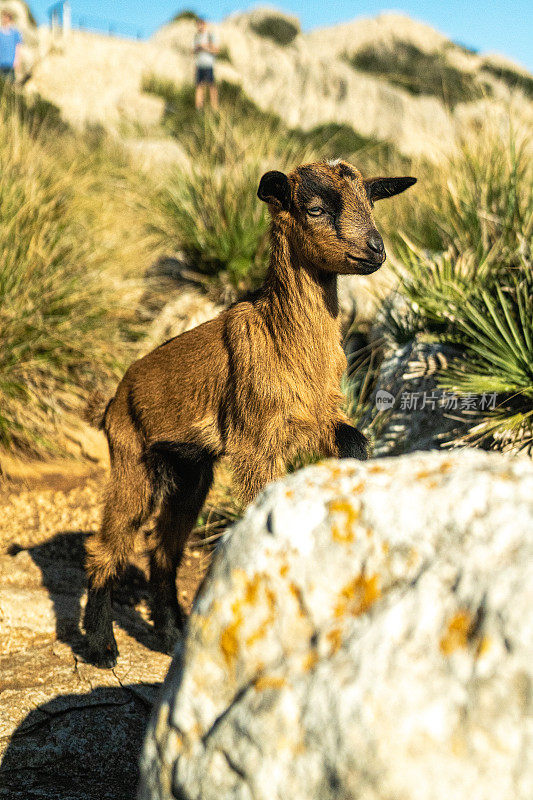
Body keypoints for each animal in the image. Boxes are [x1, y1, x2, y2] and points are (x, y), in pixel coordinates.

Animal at [84, 159, 416, 664]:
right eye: (315, 208)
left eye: (371, 203)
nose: (376, 251)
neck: (284, 338)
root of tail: (117, 394)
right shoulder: (256, 441)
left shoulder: (314, 421)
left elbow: (355, 441)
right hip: (131, 457)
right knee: (110, 542)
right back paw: (101, 645)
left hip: (190, 471)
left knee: (164, 550)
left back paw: (169, 634)